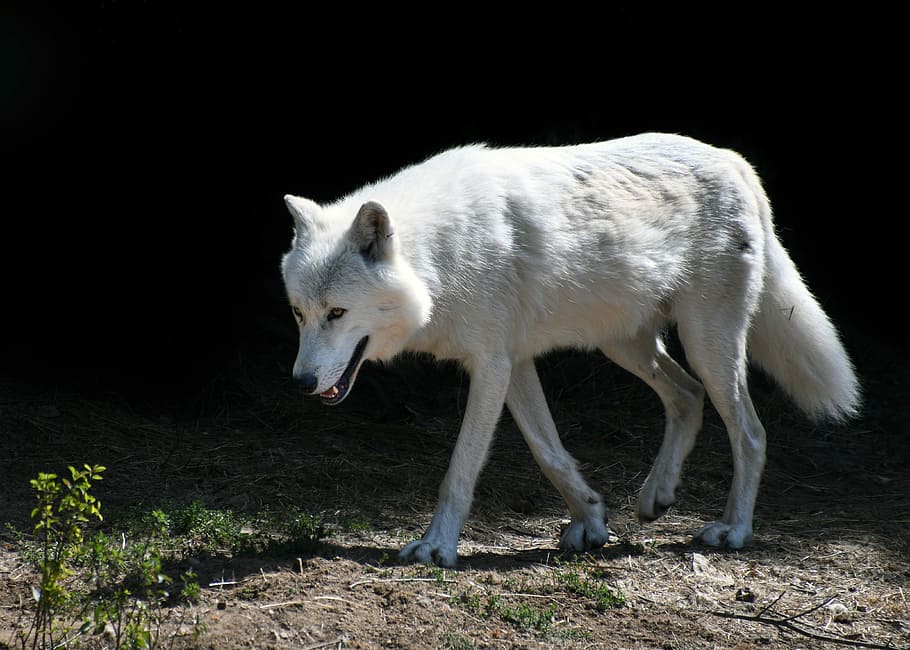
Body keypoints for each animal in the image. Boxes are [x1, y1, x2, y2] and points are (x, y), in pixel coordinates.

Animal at [280, 132, 860, 567]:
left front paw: (436, 547)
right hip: (626, 345)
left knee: (751, 431)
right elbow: (549, 452)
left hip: (706, 344)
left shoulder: (490, 365)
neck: (438, 258)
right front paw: (592, 520)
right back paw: (656, 496)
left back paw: (734, 530)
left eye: (337, 313)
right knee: (687, 397)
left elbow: (460, 470)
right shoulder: (513, 364)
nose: (301, 384)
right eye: (299, 313)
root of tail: (735, 161)